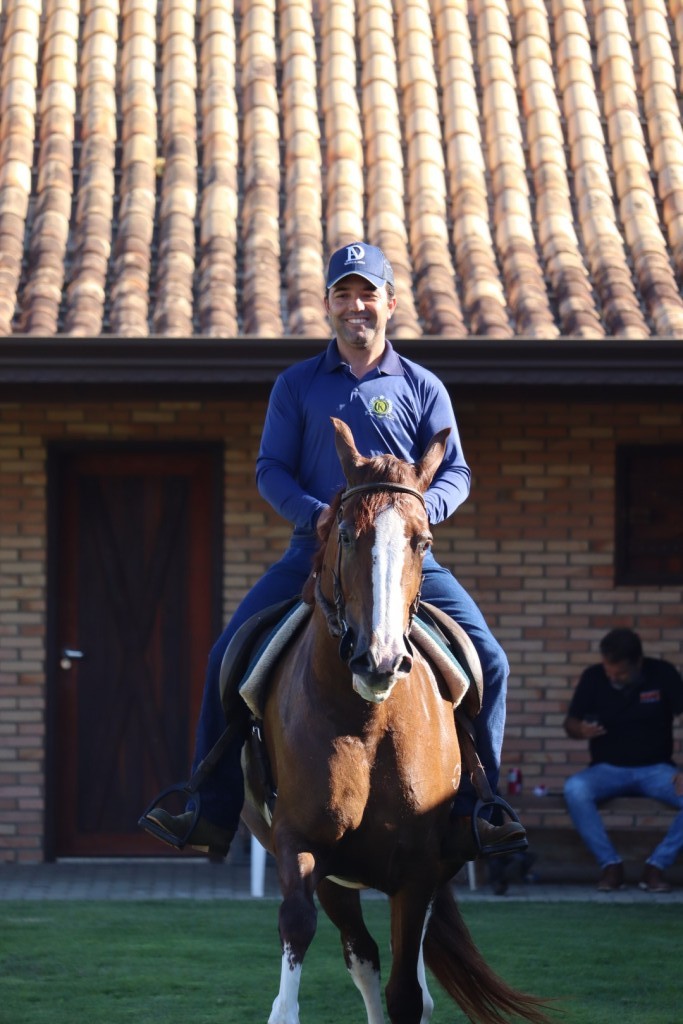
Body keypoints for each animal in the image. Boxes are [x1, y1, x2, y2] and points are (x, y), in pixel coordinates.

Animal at [240, 417, 549, 1024]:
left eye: (422, 541)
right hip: (340, 878)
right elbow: (299, 929)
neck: (366, 725)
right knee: (361, 954)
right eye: (344, 534)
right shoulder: (300, 842)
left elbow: (407, 994)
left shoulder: (420, 869)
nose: (378, 660)